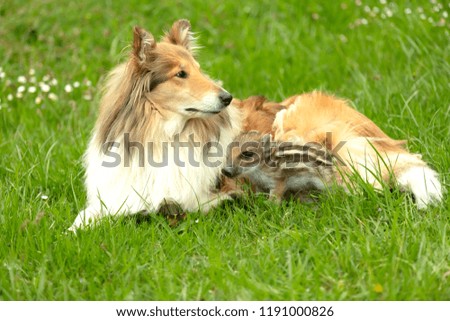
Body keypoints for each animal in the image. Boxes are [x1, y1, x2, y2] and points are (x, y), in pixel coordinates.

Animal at [68, 19, 241, 230]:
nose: (228, 98)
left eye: (199, 70)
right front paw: (72, 230)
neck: (162, 134)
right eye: (181, 73)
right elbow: (88, 214)